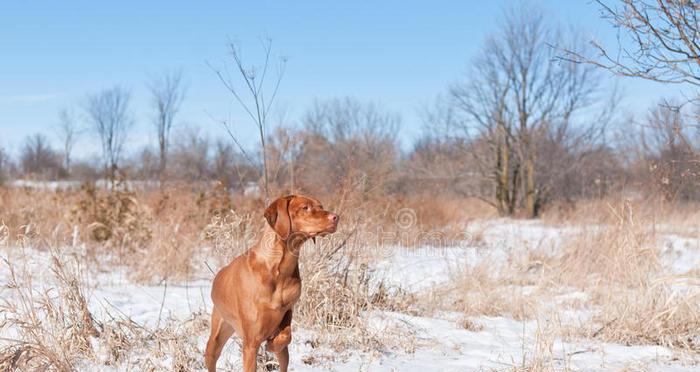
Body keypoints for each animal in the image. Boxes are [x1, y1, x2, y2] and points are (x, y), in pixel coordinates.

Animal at [204, 195, 338, 372]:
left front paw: (272, 344)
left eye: (320, 206)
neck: (279, 269)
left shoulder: (287, 310)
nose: (336, 217)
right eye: (305, 208)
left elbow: (285, 336)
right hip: (216, 336)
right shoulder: (251, 344)